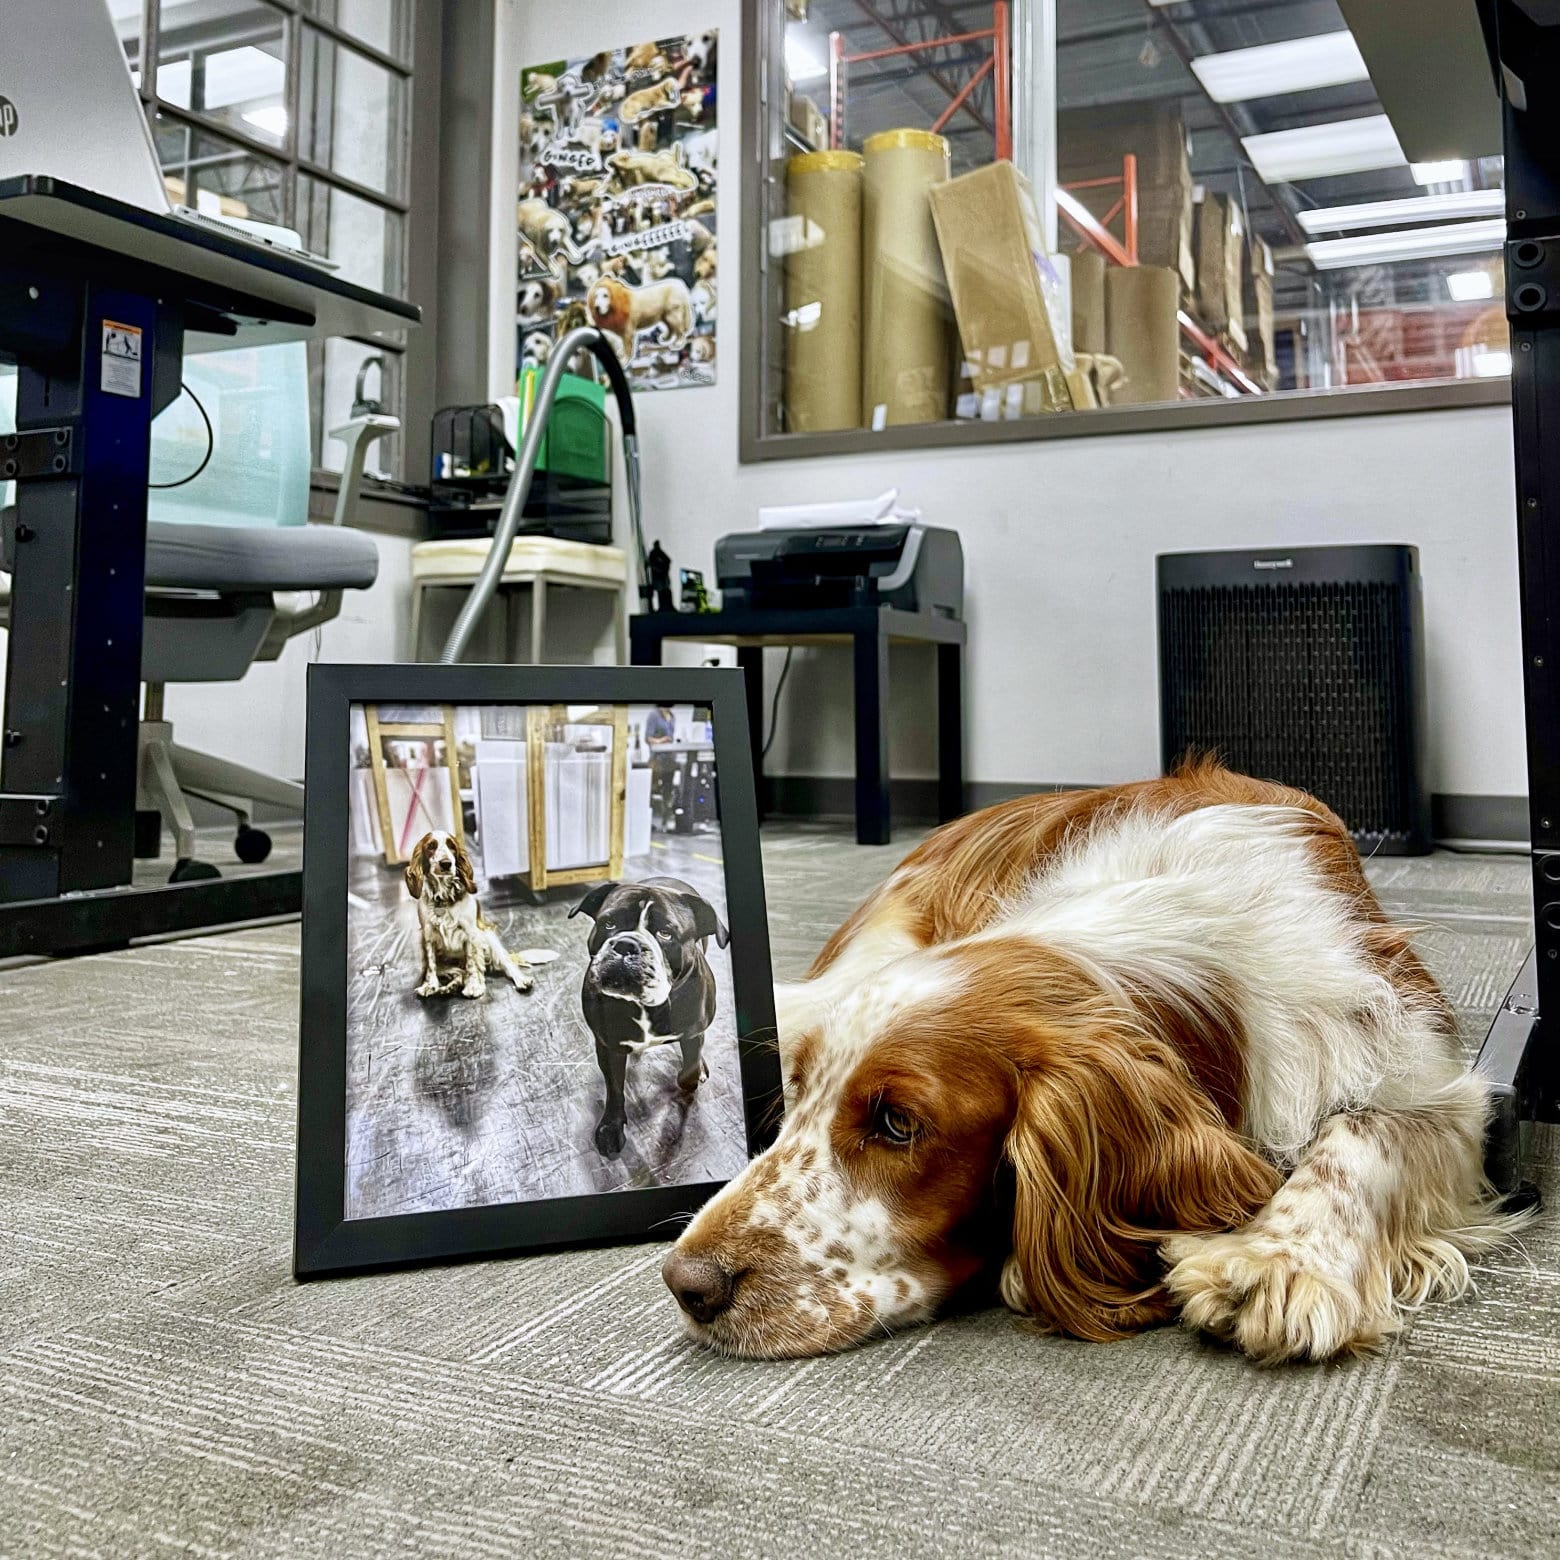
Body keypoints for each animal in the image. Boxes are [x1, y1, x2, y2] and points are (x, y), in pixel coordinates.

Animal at [402, 836, 555, 1004]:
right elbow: (431, 964)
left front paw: (474, 986)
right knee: (459, 973)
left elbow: (472, 962)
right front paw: (430, 985)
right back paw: (449, 987)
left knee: (505, 962)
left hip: (489, 937)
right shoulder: (428, 936)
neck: (443, 899)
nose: (446, 863)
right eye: (431, 846)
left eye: (451, 846)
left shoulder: (471, 934)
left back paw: (522, 980)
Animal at [670, 767, 1522, 1366]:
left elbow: (1362, 1134)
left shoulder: (1430, 1079)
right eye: (798, 1098)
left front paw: (1277, 1260)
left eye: (898, 1124)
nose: (687, 1284)